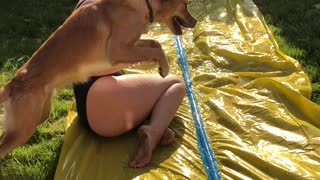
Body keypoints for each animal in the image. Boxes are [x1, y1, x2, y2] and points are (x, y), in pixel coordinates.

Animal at [0, 0, 198, 158]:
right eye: (186, 3)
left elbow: (155, 43)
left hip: (37, 116)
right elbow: (156, 50)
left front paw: (160, 64)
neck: (143, 4)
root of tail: (12, 84)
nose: (195, 22)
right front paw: (164, 68)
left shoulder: (131, 45)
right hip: (23, 129)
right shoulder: (118, 50)